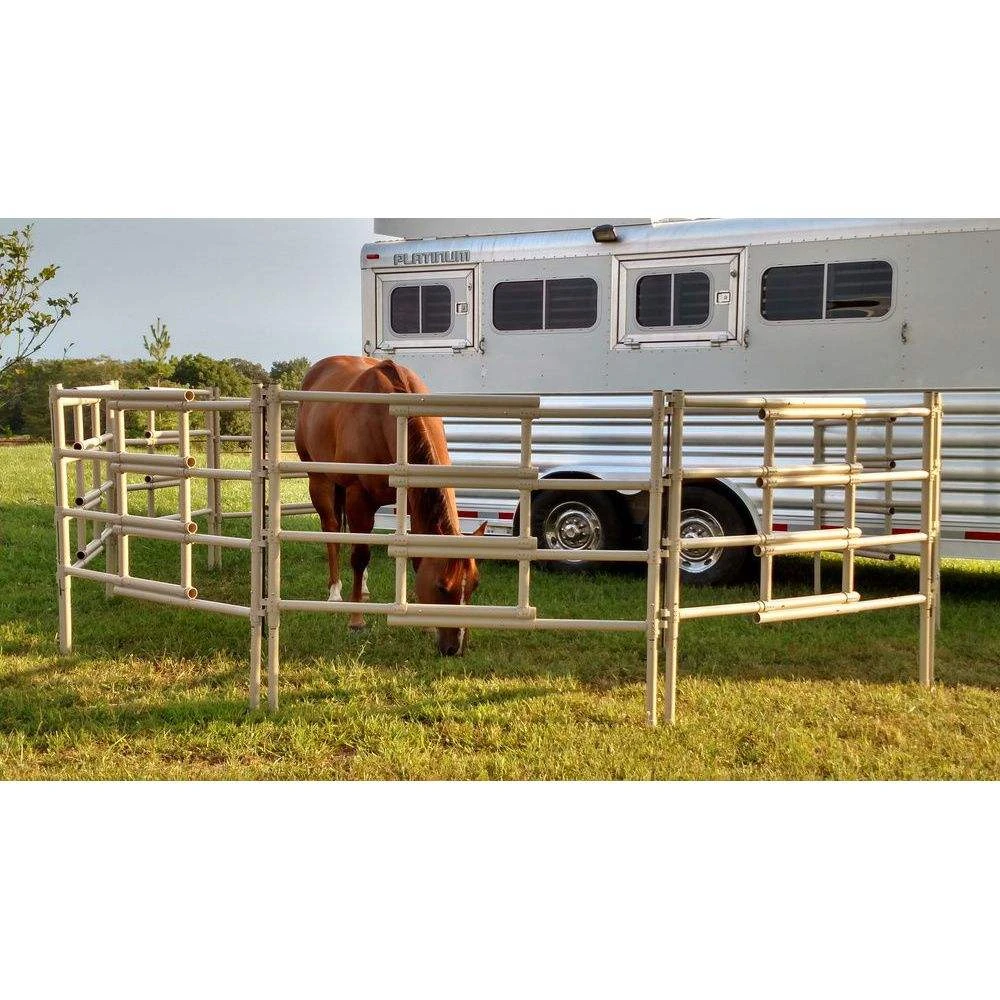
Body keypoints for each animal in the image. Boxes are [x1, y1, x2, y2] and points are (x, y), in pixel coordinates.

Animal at [293, 355, 484, 656]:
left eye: (474, 585)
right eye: (442, 587)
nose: (455, 649)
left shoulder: (411, 503)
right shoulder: (358, 497)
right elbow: (360, 557)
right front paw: (356, 621)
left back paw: (363, 588)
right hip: (320, 480)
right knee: (332, 530)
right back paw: (336, 592)